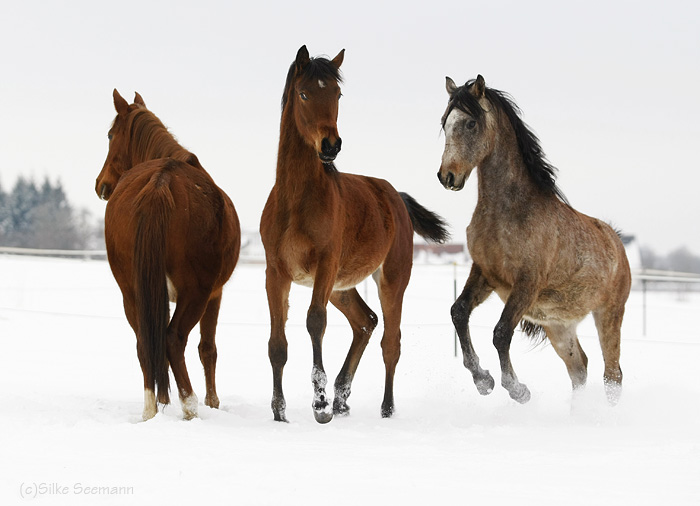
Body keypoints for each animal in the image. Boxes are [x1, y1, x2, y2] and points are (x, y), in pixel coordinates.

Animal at [94, 90, 241, 420]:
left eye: (110, 135)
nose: (101, 184)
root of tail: (161, 182)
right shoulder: (215, 294)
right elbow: (207, 348)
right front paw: (212, 401)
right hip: (196, 293)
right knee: (174, 339)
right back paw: (190, 405)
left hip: (132, 291)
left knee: (146, 341)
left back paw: (151, 408)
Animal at [262, 46, 448, 422]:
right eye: (304, 94)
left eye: (337, 94)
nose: (330, 145)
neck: (295, 202)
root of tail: (395, 197)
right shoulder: (275, 273)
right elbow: (277, 344)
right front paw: (279, 412)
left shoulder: (325, 265)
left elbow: (315, 322)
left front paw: (319, 404)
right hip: (341, 286)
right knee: (365, 322)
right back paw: (342, 397)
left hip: (390, 279)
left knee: (391, 341)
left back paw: (384, 408)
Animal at [438, 75, 628, 406]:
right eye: (444, 122)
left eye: (471, 123)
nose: (447, 176)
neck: (508, 213)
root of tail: (617, 242)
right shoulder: (485, 273)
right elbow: (458, 312)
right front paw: (483, 380)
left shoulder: (527, 282)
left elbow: (501, 332)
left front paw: (517, 389)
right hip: (558, 326)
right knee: (580, 368)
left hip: (609, 314)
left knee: (612, 375)